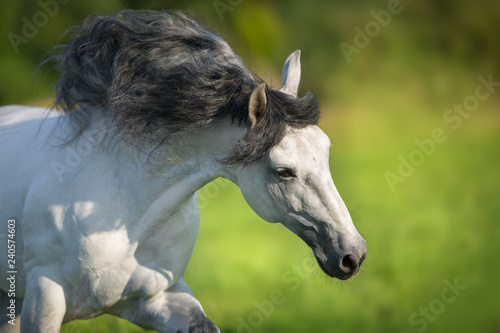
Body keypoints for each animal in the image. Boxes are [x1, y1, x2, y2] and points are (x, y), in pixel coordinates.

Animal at [0, 10, 368, 332]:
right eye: (284, 171)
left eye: (326, 150)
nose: (353, 254)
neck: (127, 216)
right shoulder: (44, 300)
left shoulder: (159, 297)